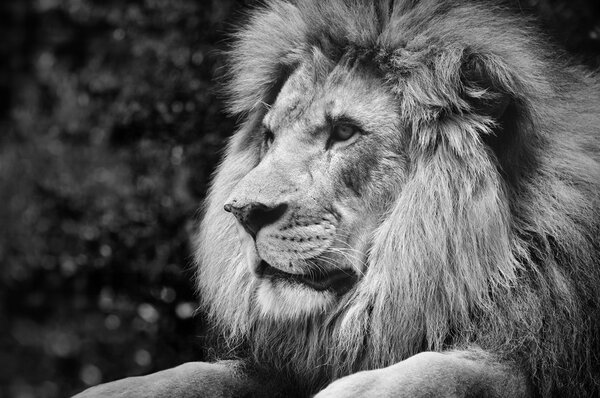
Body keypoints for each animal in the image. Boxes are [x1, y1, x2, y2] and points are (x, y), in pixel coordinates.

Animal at [74, 0, 600, 398]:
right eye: (269, 137)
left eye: (344, 132)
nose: (242, 213)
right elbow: (190, 376)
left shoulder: (537, 356)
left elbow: (445, 372)